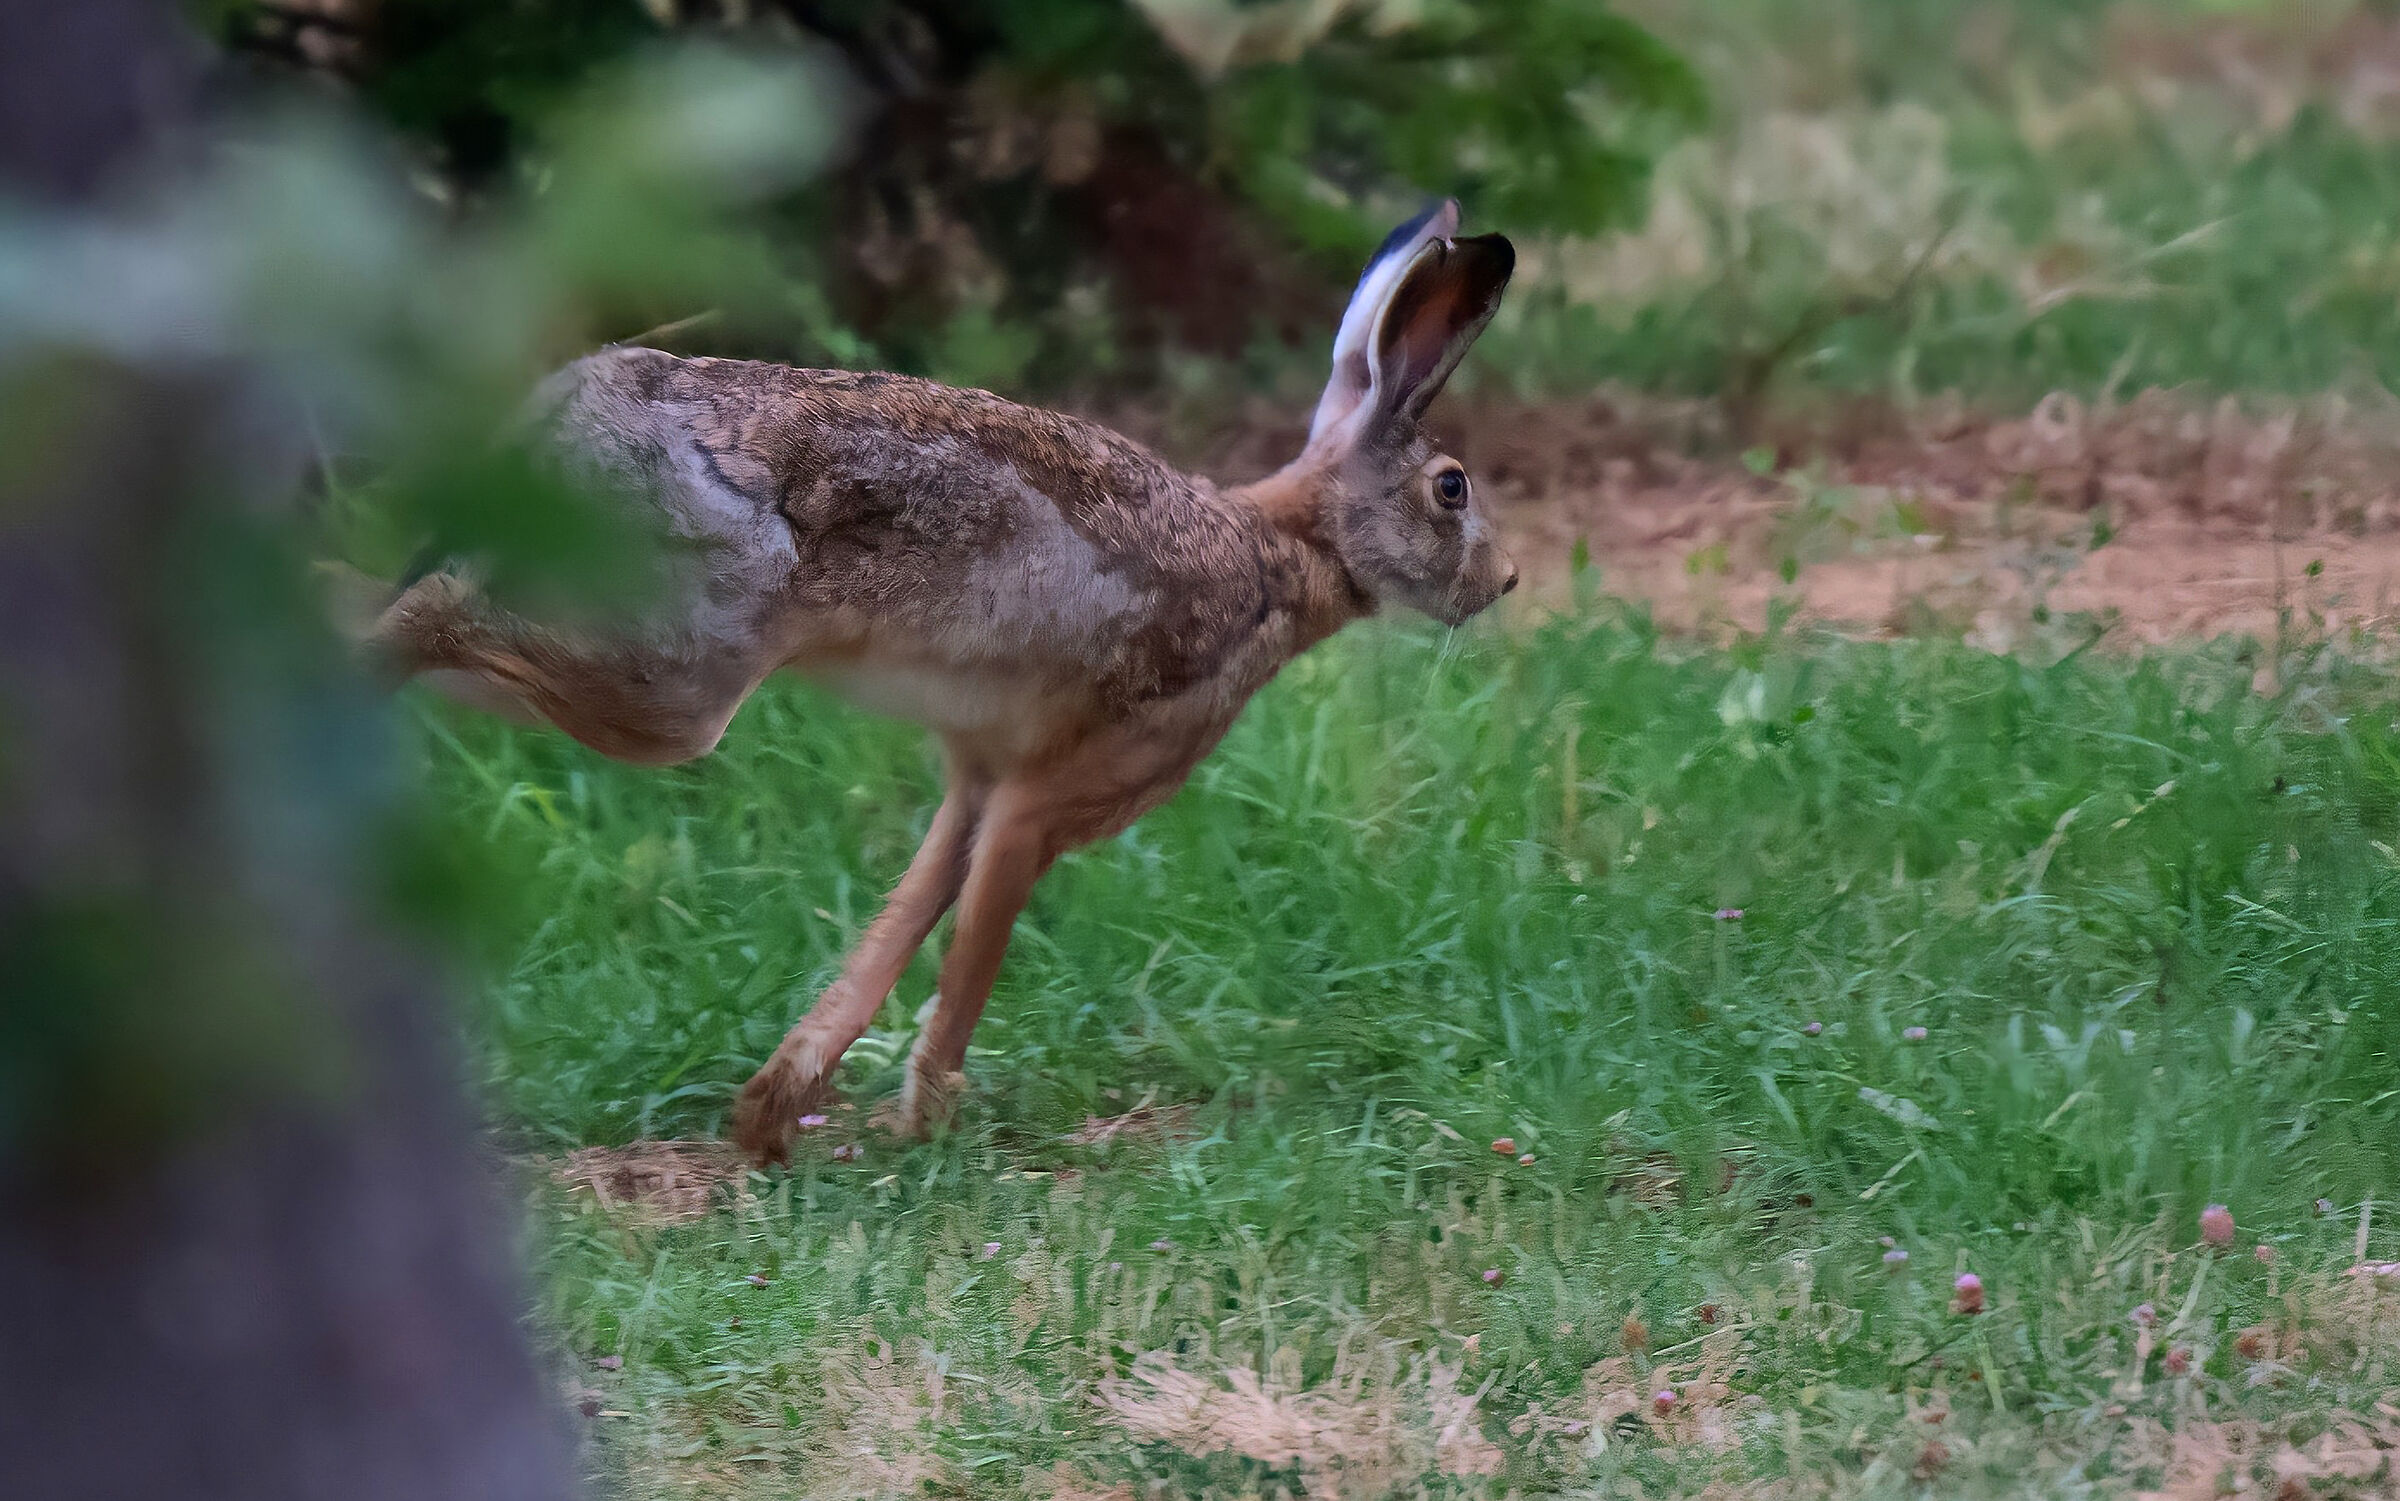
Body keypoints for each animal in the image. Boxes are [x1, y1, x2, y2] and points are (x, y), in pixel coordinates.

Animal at [366, 199, 1516, 1164]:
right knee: (431, 613)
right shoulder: (1046, 801)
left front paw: (773, 1118)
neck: (1285, 557)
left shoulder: (978, 780)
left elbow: (901, 927)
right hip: (676, 682)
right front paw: (925, 1127)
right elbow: (970, 961)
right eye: (1451, 489)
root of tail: (563, 422)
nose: (1504, 580)